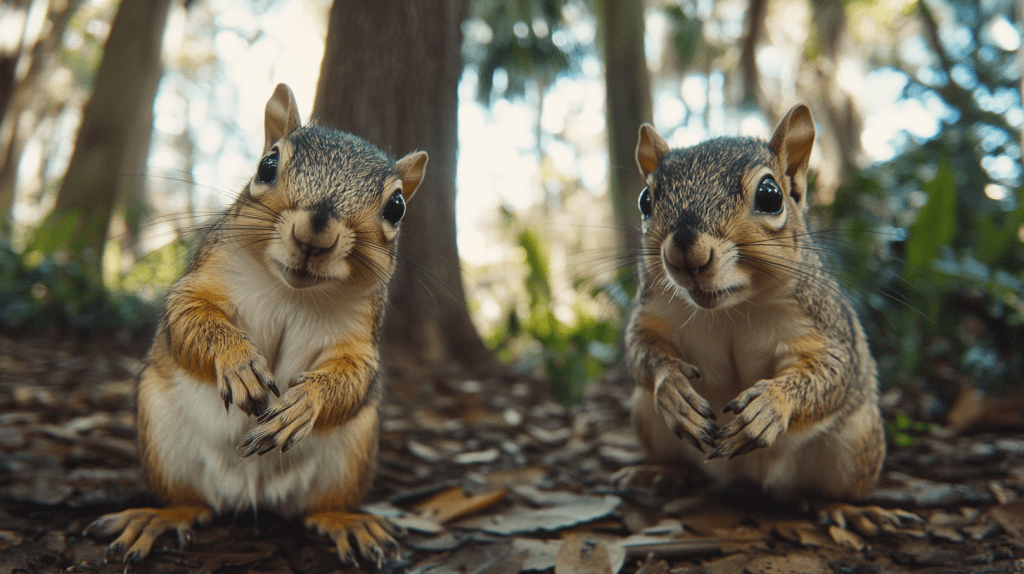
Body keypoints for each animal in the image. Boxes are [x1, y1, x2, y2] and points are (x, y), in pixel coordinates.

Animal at [82, 82, 428, 564]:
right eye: (268, 165)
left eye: (396, 207)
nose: (316, 232)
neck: (291, 291)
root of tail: (252, 494)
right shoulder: (205, 279)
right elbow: (190, 318)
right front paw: (239, 364)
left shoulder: (360, 333)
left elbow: (354, 374)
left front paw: (304, 403)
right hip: (163, 441)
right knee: (193, 503)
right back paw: (159, 517)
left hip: (352, 457)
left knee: (317, 508)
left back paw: (347, 521)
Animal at [618, 103, 917, 532]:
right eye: (646, 200)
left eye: (771, 195)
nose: (685, 252)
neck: (731, 308)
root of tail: (745, 477)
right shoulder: (652, 312)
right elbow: (640, 350)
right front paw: (672, 385)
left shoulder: (823, 323)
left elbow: (832, 371)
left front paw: (772, 404)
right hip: (646, 418)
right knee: (684, 463)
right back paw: (662, 472)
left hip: (854, 443)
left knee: (819, 491)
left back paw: (844, 509)